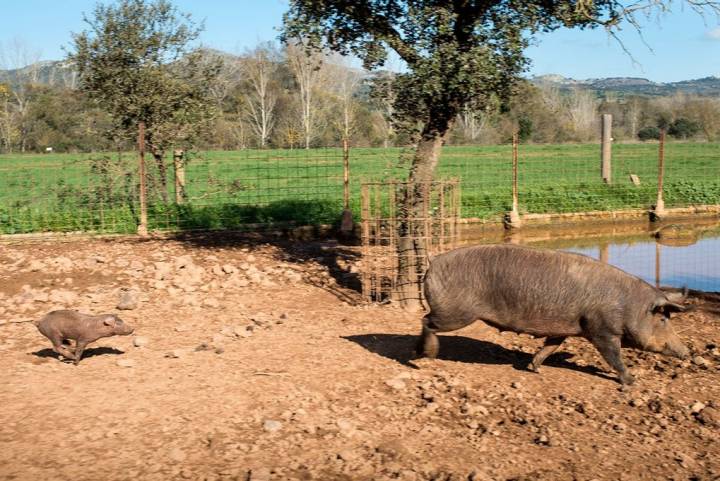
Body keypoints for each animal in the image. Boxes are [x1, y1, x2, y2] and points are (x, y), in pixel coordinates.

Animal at [420, 244, 688, 382]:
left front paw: (534, 368)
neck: (629, 306)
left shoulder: (563, 329)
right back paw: (427, 355)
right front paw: (632, 381)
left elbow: (551, 346)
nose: (687, 352)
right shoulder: (603, 330)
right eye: (662, 318)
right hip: (455, 313)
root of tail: (433, 263)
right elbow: (614, 357)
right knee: (426, 321)